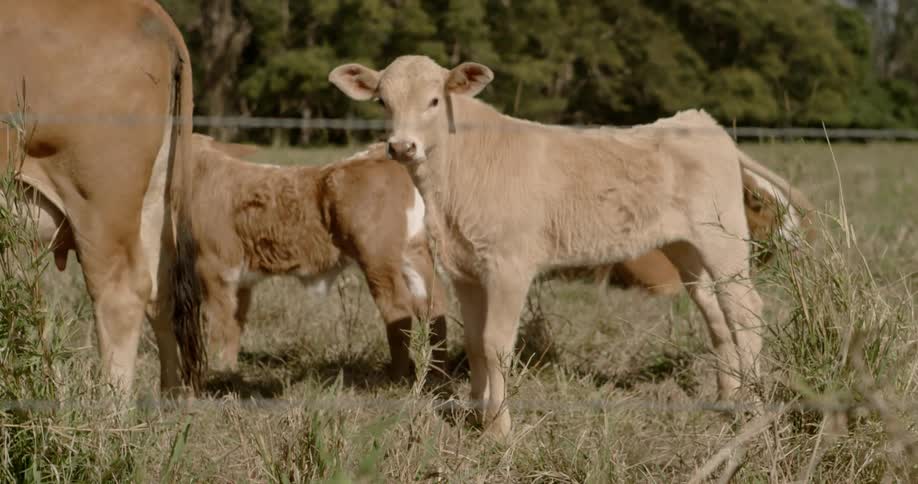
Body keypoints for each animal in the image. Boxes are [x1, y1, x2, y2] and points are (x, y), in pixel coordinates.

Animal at [0, 0, 201, 395]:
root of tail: (154, 12)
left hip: (100, 202)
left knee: (120, 292)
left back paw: (111, 404)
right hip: (153, 198)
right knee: (162, 288)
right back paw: (168, 397)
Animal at [189, 135, 448, 379]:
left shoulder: (214, 267)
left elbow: (218, 322)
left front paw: (215, 373)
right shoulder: (241, 279)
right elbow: (234, 323)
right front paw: (228, 370)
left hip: (378, 260)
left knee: (398, 308)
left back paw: (397, 376)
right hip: (412, 253)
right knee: (432, 304)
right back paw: (437, 371)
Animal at [329, 56, 809, 437]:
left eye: (433, 101)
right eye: (383, 102)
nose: (401, 146)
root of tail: (702, 122)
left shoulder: (509, 266)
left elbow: (495, 344)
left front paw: (499, 430)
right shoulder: (464, 270)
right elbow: (475, 344)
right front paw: (477, 416)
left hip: (723, 239)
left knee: (745, 310)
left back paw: (752, 410)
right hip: (684, 246)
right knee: (716, 314)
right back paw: (726, 401)